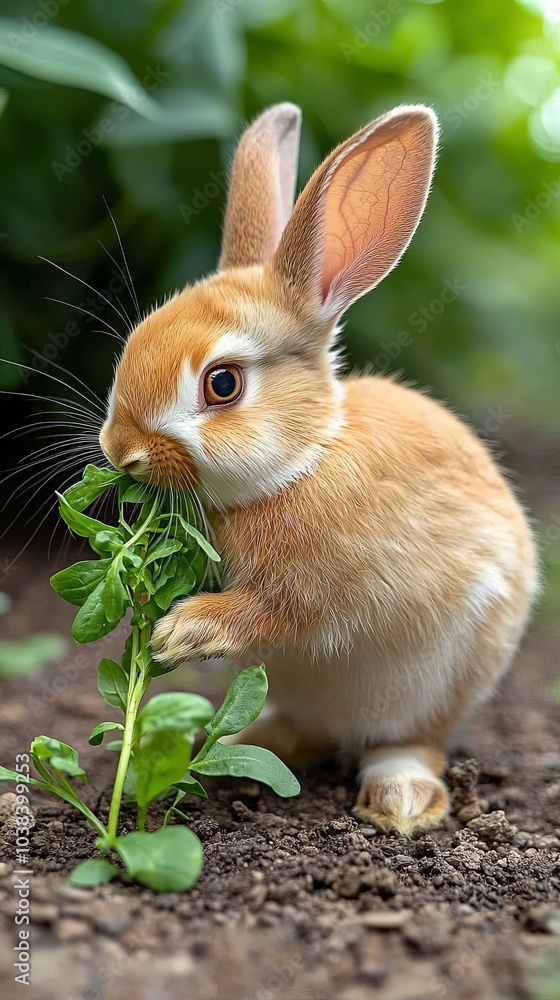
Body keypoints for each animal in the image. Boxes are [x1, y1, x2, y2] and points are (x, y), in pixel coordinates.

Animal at [99, 103, 538, 834]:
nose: (119, 451)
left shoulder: (314, 593)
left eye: (222, 384)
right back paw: (237, 748)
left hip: (440, 684)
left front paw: (178, 633)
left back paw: (400, 801)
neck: (303, 461)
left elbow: (271, 611)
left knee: (407, 742)